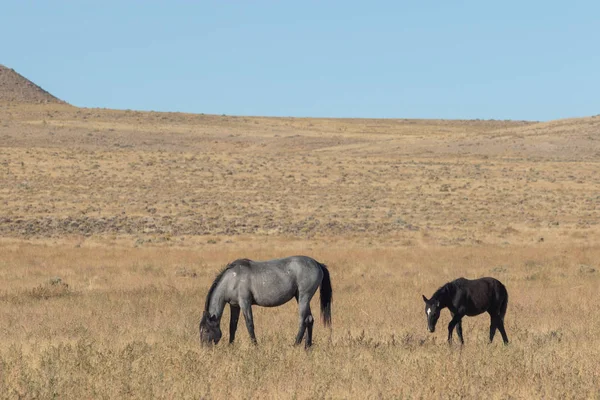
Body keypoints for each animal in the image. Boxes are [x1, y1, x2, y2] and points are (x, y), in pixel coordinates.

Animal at [200, 256, 332, 346]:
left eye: (206, 330)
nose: (204, 348)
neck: (232, 279)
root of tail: (317, 263)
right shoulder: (235, 306)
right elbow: (232, 326)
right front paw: (230, 345)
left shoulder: (245, 303)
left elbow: (249, 324)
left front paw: (255, 346)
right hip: (300, 298)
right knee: (309, 319)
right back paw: (307, 346)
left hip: (304, 297)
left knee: (303, 320)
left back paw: (295, 344)